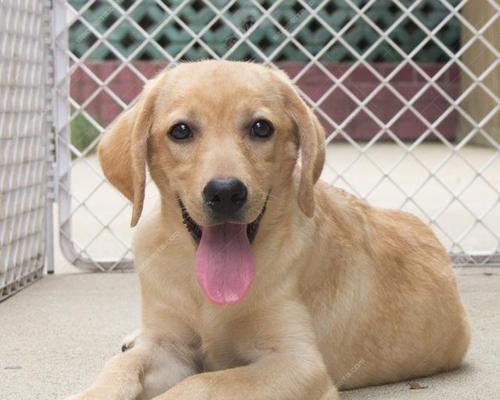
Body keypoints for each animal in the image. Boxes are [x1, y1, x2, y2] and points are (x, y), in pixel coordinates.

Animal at [68, 60, 470, 400]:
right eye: (180, 131)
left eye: (261, 127)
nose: (225, 192)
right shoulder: (169, 348)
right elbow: (122, 366)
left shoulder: (297, 363)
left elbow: (204, 383)